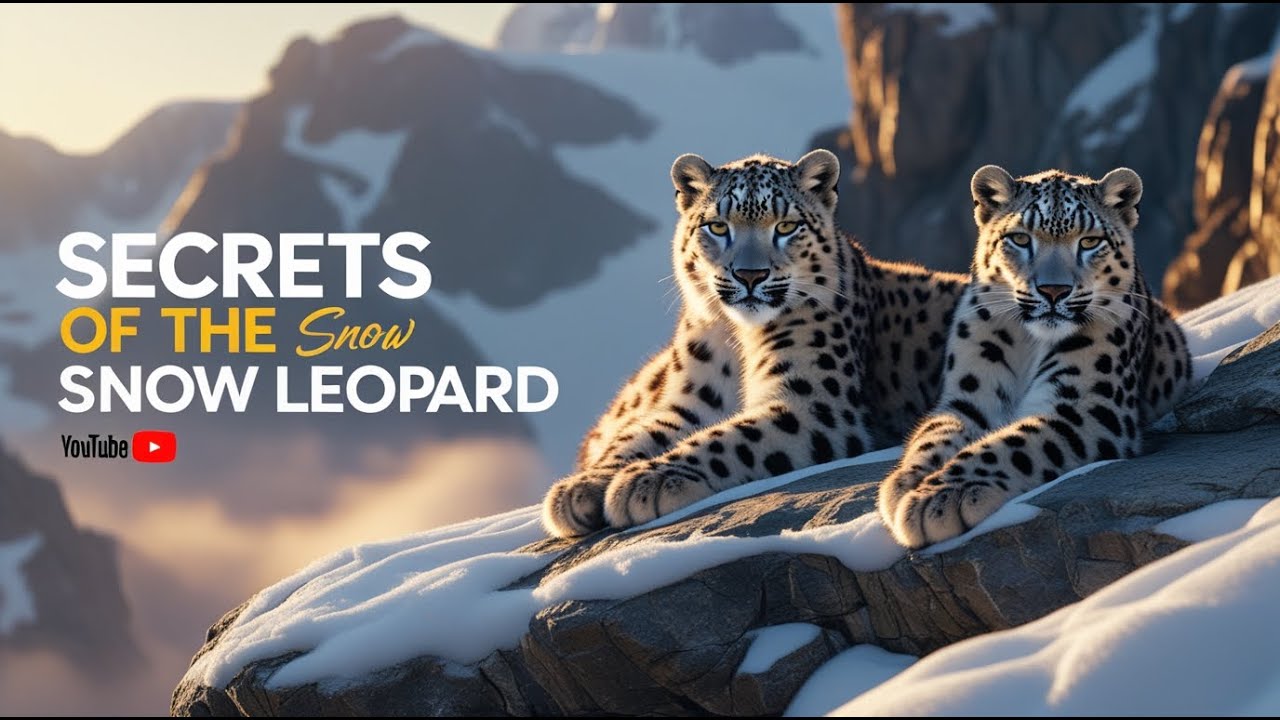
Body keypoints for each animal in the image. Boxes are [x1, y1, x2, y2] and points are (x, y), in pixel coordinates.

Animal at [542, 149, 967, 537]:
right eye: (717, 226)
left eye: (787, 225)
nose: (750, 275)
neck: (737, 342)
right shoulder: (691, 401)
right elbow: (639, 435)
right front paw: (580, 488)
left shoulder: (815, 405)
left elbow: (731, 438)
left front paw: (646, 481)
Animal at [878, 165, 1193, 549]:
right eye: (1019, 238)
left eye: (1089, 241)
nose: (1053, 290)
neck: (1030, 345)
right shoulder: (968, 399)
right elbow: (933, 435)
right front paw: (905, 483)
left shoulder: (1088, 408)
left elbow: (1014, 445)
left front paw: (937, 499)